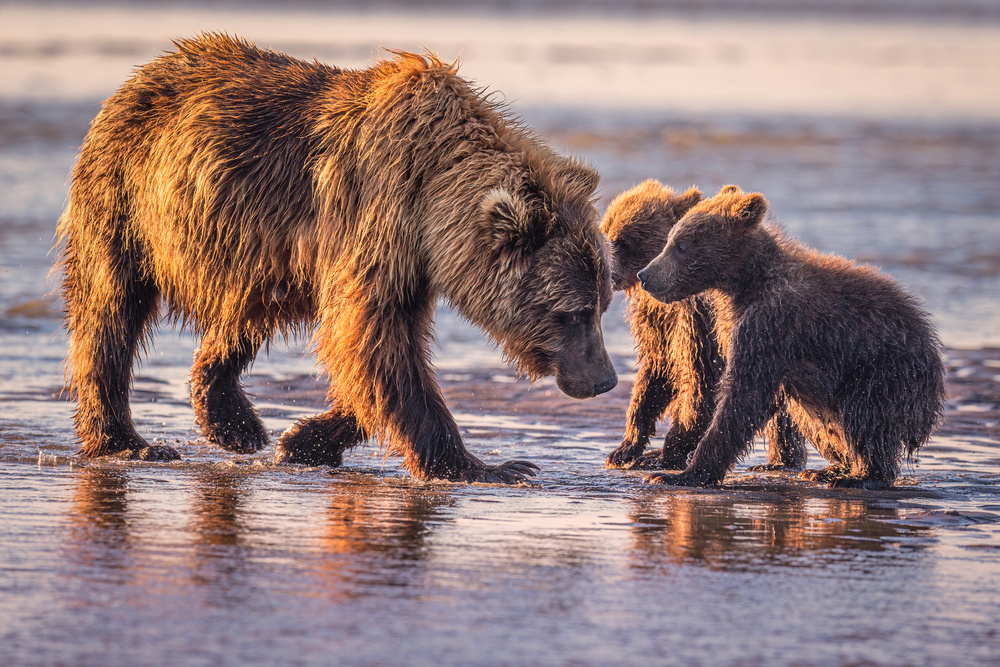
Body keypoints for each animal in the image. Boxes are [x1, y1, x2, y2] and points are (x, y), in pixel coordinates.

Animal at [58, 34, 616, 482]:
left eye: (603, 304)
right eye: (574, 312)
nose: (604, 379)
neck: (433, 194)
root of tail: (141, 75)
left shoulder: (410, 264)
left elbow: (373, 355)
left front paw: (302, 440)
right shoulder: (377, 219)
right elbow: (377, 344)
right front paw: (493, 466)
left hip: (255, 256)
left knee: (242, 318)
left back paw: (234, 422)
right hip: (126, 201)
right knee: (110, 310)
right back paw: (128, 442)